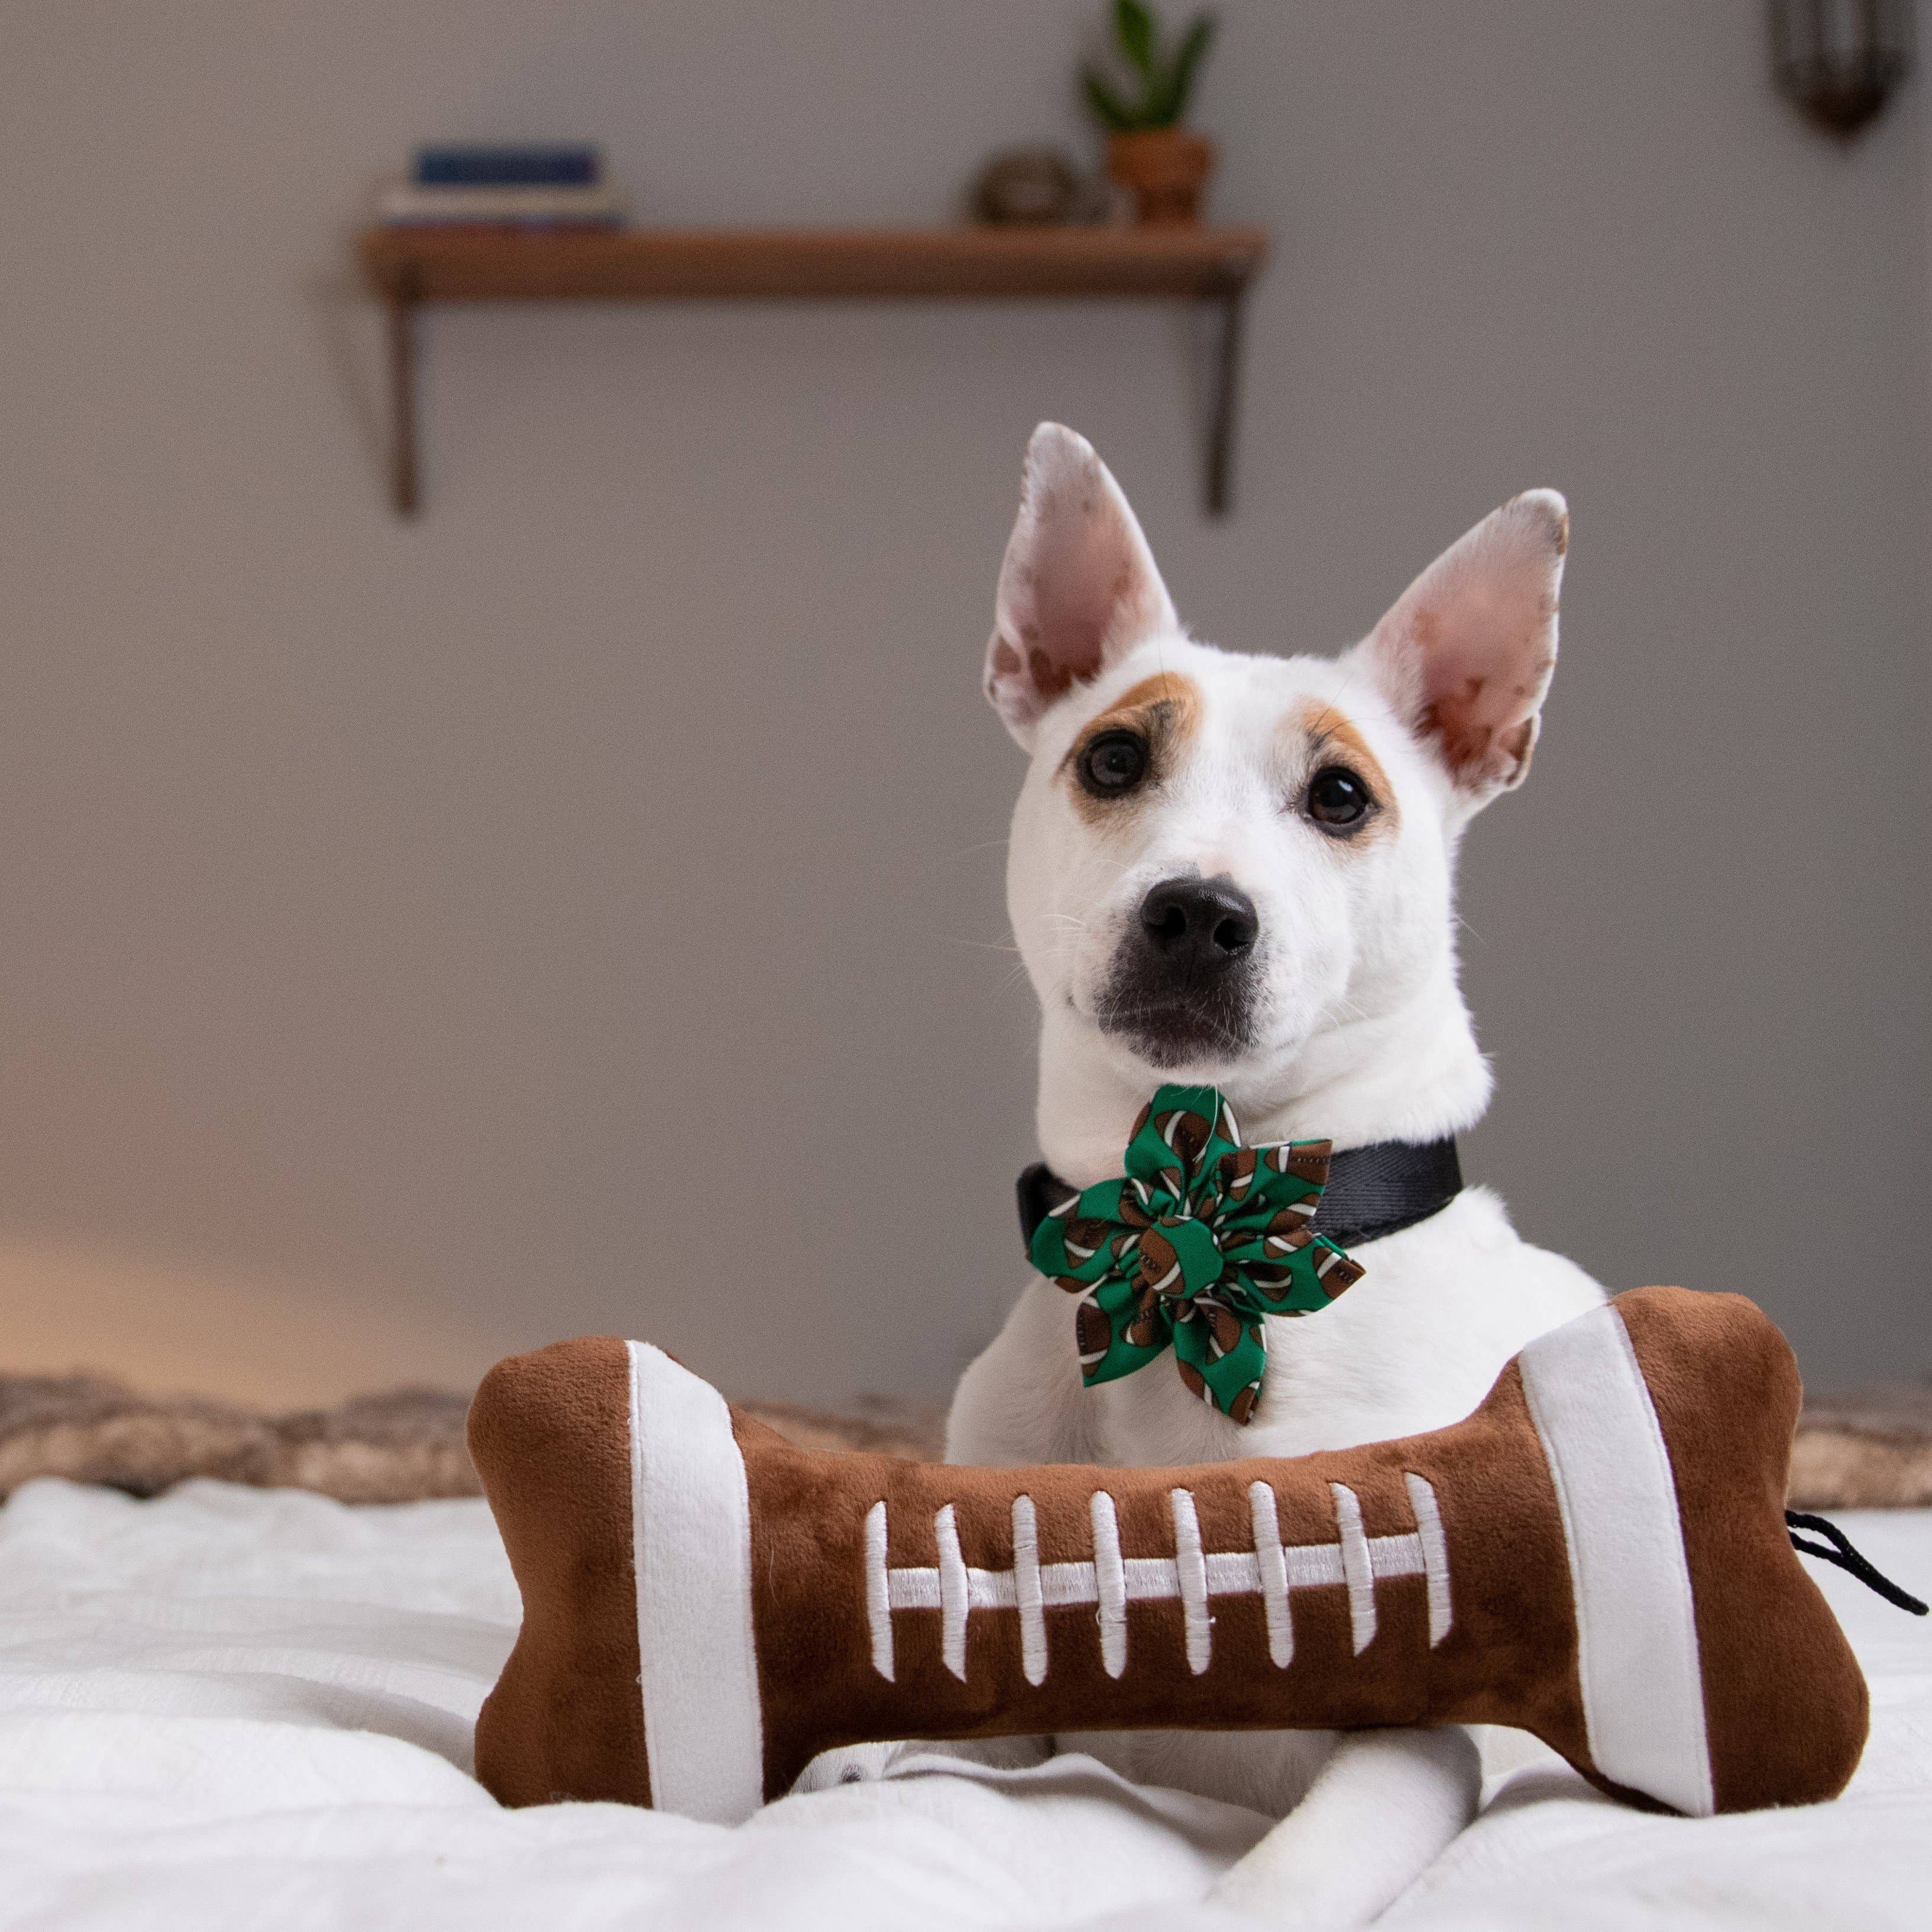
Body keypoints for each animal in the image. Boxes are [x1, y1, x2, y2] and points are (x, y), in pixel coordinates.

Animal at [946, 419, 1600, 1916]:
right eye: (1112, 759)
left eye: (1340, 796)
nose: (1196, 911)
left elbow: (1272, 1885)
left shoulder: (1404, 1739)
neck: (1190, 1240)